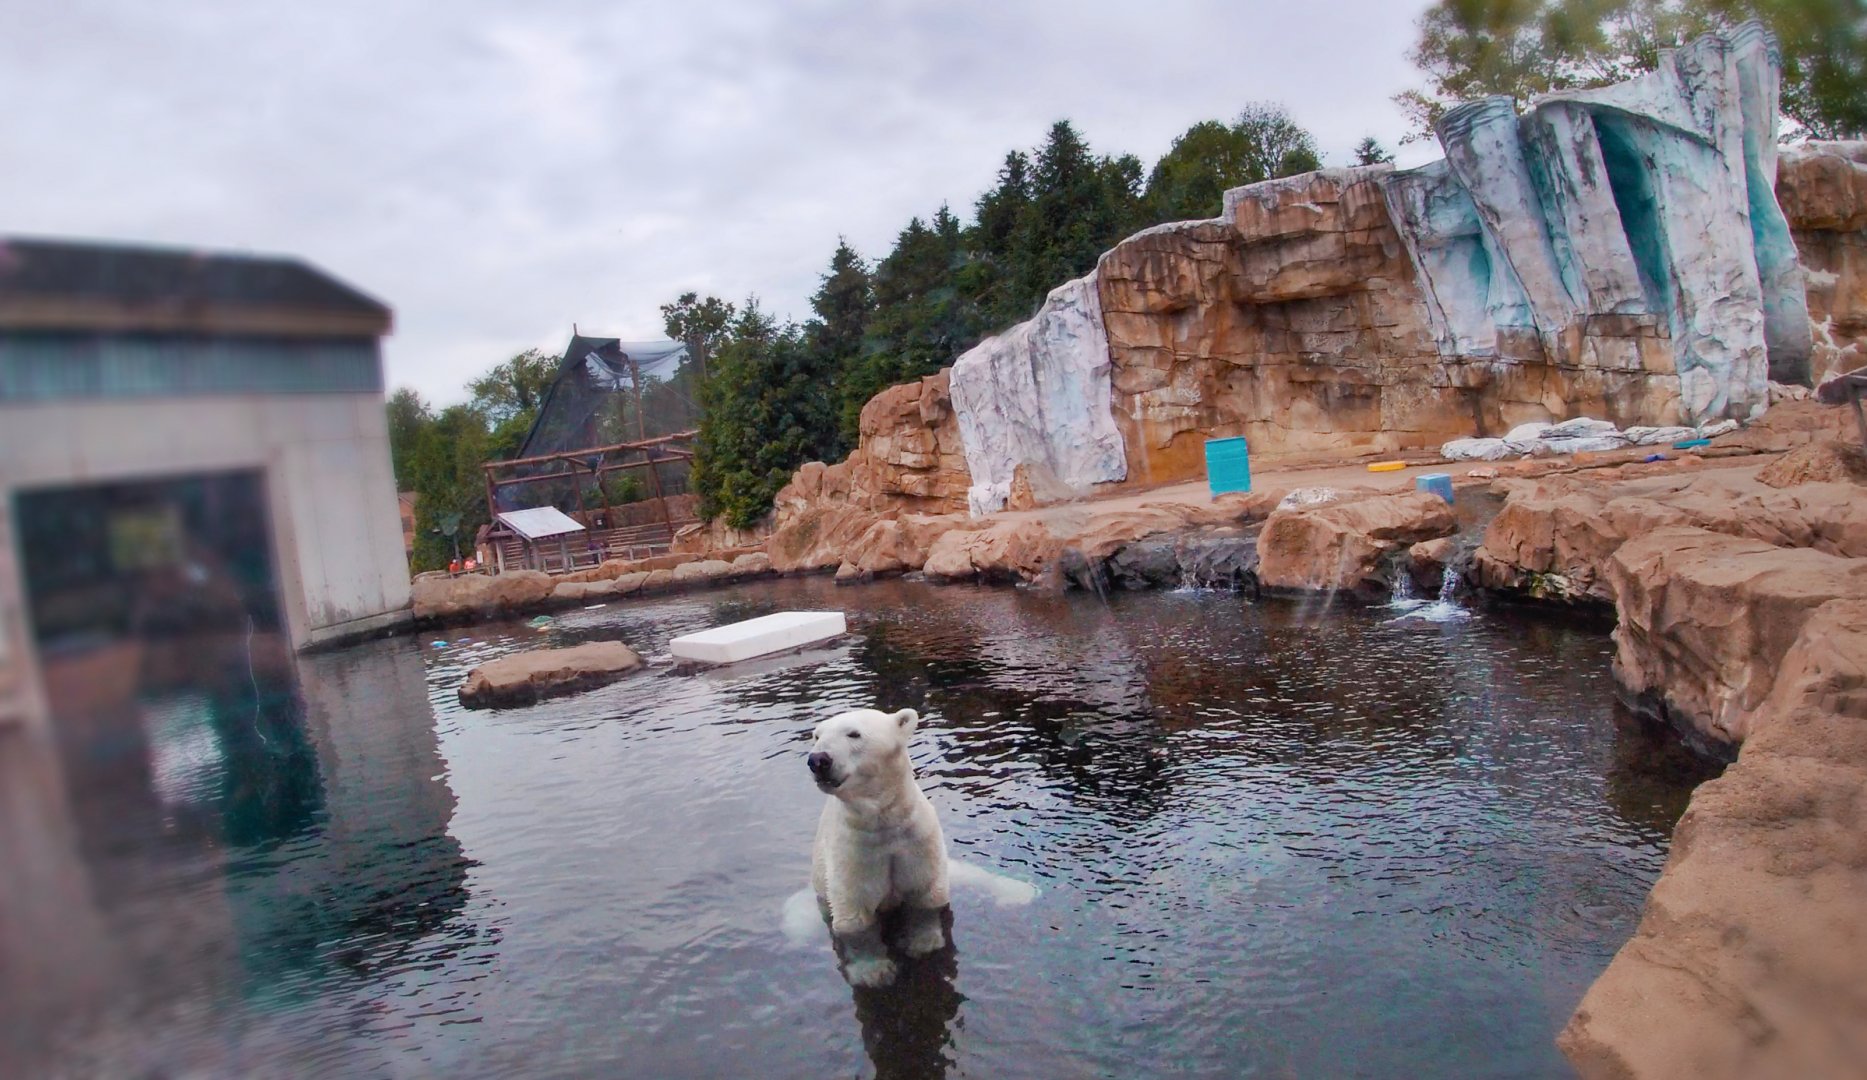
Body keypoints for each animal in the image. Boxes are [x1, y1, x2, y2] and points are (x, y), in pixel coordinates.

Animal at [807, 706, 950, 987]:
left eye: (854, 733)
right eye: (817, 736)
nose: (818, 760)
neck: (882, 821)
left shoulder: (916, 840)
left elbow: (926, 897)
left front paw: (921, 944)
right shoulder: (853, 852)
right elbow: (856, 922)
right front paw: (875, 973)